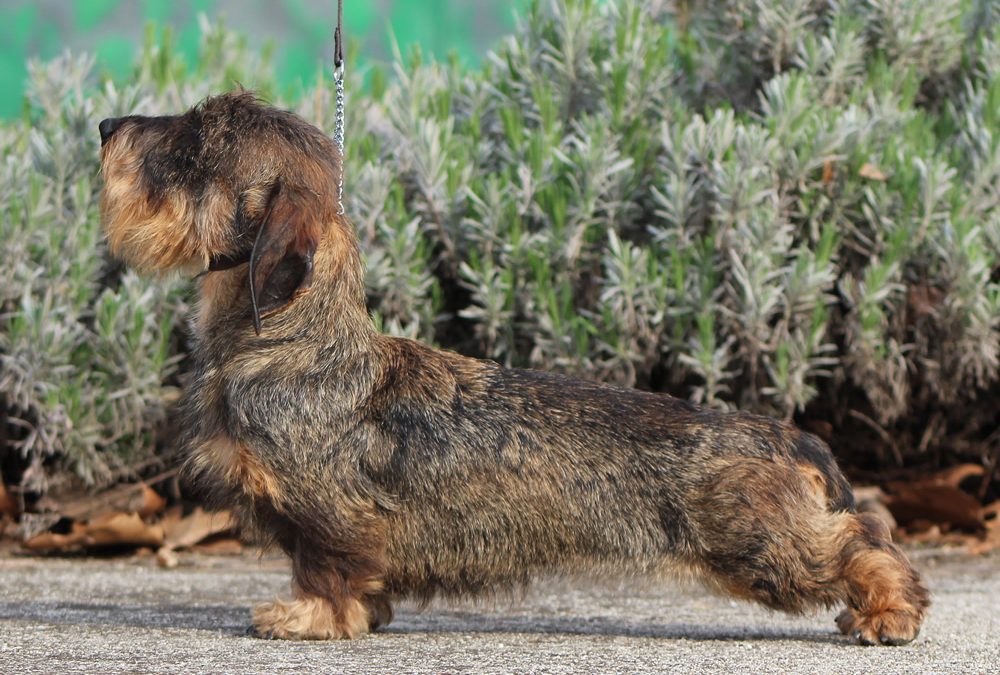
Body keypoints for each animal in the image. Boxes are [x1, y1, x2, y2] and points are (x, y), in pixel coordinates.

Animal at [99, 92, 928, 648]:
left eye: (197, 139)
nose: (106, 127)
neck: (296, 342)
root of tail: (787, 437)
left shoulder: (326, 513)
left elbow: (324, 569)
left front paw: (307, 616)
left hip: (761, 545)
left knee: (863, 540)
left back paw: (890, 610)